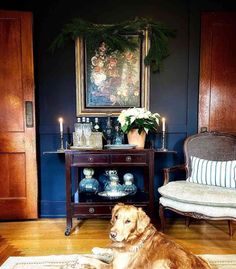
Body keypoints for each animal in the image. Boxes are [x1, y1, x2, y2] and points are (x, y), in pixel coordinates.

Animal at [79, 203, 210, 268]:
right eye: (116, 217)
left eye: (128, 221)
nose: (112, 234)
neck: (133, 238)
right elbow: (109, 250)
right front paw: (97, 249)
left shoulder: (116, 267)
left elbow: (96, 261)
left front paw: (82, 258)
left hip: (161, 263)